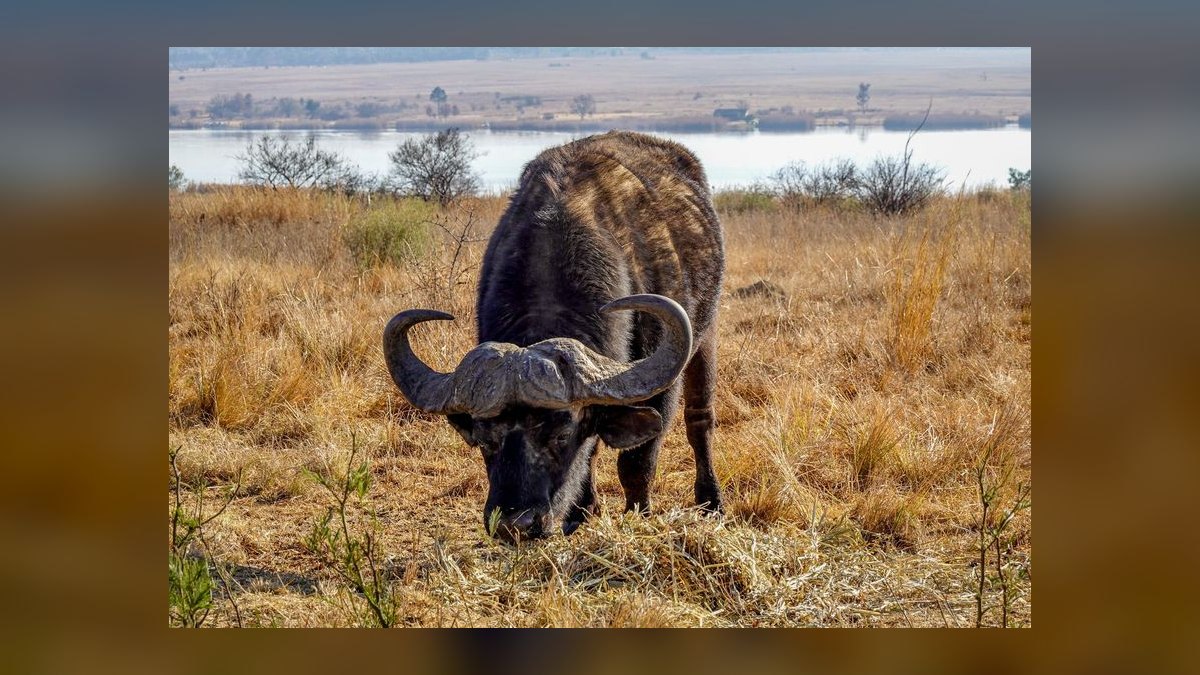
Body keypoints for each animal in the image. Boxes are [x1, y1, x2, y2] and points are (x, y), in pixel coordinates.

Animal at [384, 131, 724, 541]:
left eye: (561, 435)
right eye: (484, 439)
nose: (515, 523)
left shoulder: (660, 391)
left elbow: (637, 461)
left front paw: (638, 514)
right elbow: (590, 453)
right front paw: (580, 512)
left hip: (705, 334)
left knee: (699, 420)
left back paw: (711, 500)